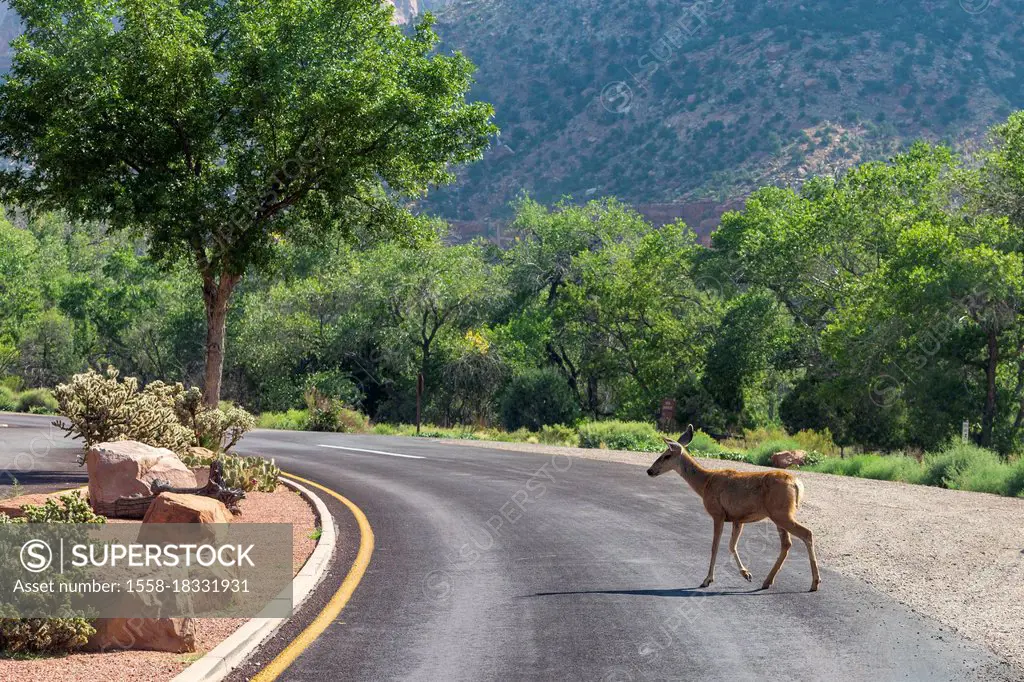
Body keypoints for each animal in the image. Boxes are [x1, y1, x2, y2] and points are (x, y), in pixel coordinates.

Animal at [647, 425, 823, 589]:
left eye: (666, 455)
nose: (650, 470)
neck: (705, 483)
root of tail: (797, 484)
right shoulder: (738, 519)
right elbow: (732, 545)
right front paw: (746, 574)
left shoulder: (717, 513)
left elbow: (715, 546)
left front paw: (707, 579)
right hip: (780, 515)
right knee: (787, 543)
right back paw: (767, 581)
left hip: (781, 513)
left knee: (806, 534)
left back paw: (815, 582)